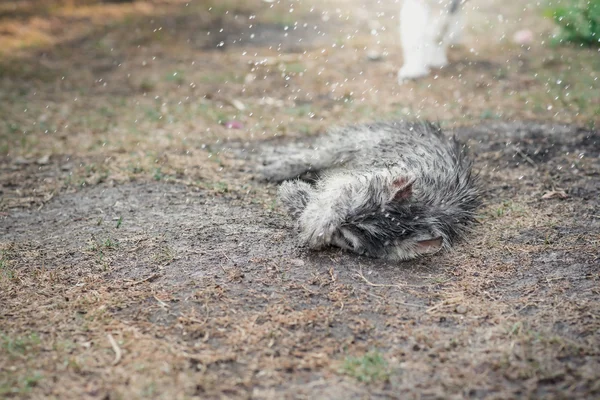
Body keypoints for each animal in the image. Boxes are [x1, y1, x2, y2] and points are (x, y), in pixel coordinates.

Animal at [260, 120, 480, 260]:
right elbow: (334, 195)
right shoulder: (354, 179)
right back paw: (277, 162)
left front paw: (297, 199)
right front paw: (317, 217)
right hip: (352, 143)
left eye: (347, 240)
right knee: (312, 154)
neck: (429, 204)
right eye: (349, 208)